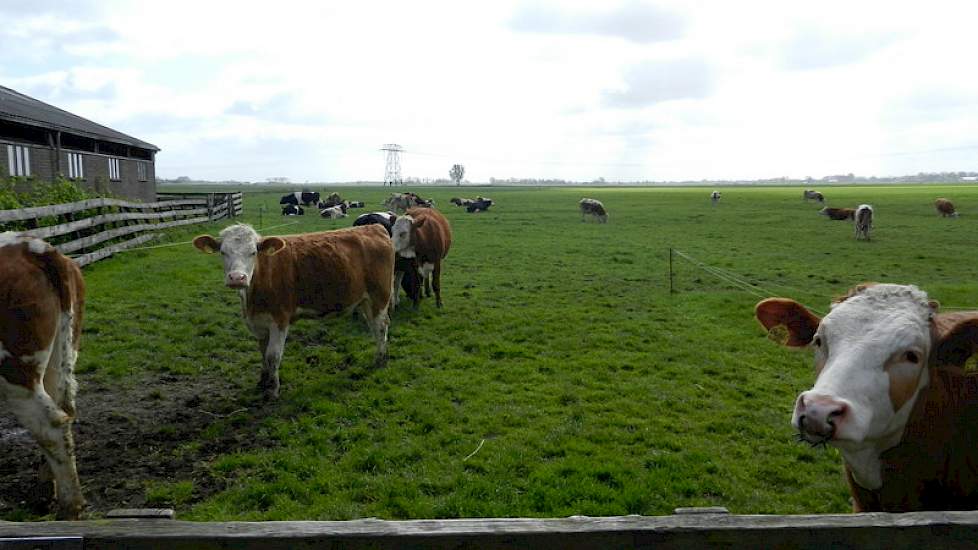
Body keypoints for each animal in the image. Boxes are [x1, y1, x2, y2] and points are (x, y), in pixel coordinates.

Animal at [194, 224, 392, 402]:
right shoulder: (258, 322)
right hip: (365, 300)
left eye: (253, 252)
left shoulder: (280, 319)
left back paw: (380, 359)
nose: (237, 278)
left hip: (379, 296)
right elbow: (262, 353)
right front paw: (263, 382)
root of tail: (373, 227)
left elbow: (273, 356)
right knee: (374, 326)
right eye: (223, 252)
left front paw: (273, 390)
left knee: (381, 326)